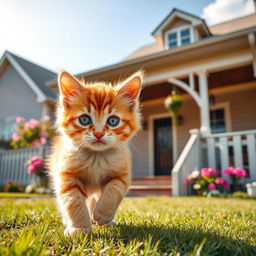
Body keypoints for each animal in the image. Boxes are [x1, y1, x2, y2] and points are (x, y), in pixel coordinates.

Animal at [48, 71, 142, 235]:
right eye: (84, 119)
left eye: (113, 121)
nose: (98, 134)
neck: (96, 157)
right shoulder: (66, 175)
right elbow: (73, 201)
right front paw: (79, 228)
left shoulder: (122, 175)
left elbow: (113, 192)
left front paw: (101, 215)